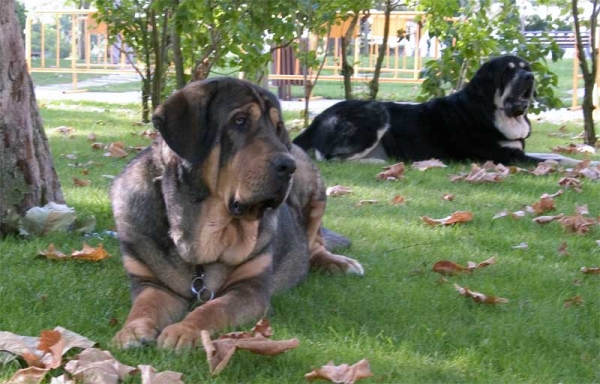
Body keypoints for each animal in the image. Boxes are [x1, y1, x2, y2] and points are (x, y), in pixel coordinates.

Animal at [110, 77, 364, 352]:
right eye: (240, 121)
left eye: (277, 127)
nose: (288, 166)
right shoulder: (151, 284)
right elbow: (144, 306)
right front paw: (132, 331)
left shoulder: (249, 288)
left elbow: (212, 309)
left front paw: (184, 330)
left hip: (312, 183)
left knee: (314, 244)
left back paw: (339, 263)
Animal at [292, 54, 552, 165]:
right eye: (508, 71)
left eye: (526, 68)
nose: (529, 77)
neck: (491, 112)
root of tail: (319, 117)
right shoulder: (502, 157)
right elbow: (547, 162)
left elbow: (554, 156)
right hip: (375, 113)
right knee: (328, 158)